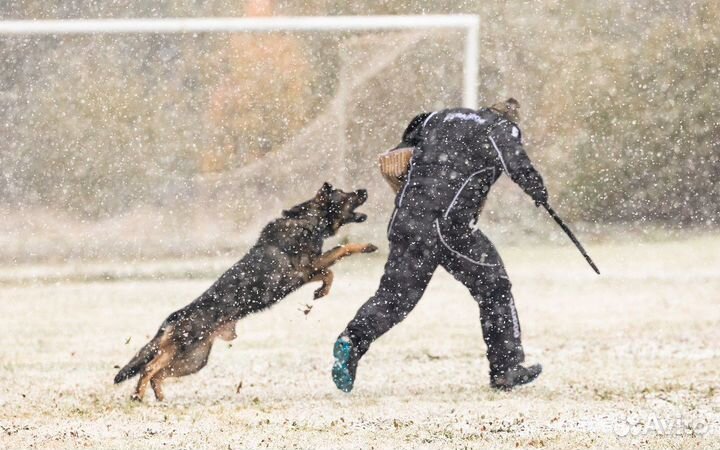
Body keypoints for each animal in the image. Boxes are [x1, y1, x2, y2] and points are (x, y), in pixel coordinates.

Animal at [114, 183, 374, 400]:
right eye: (346, 194)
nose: (364, 189)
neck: (307, 220)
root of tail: (173, 317)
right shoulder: (305, 269)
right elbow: (342, 249)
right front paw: (366, 246)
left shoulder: (306, 273)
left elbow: (329, 273)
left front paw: (322, 291)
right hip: (184, 348)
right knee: (149, 368)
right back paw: (138, 395)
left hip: (195, 359)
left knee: (158, 373)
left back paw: (158, 397)